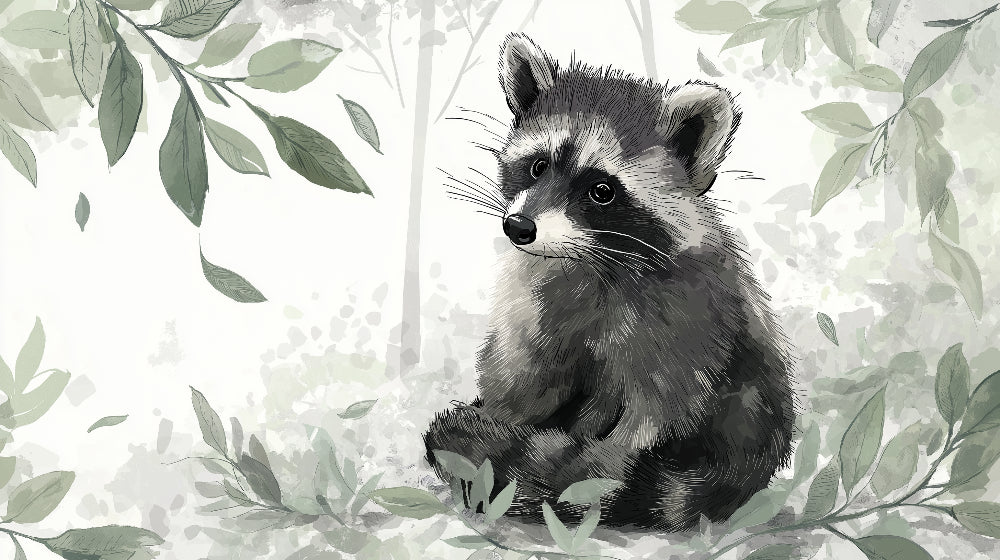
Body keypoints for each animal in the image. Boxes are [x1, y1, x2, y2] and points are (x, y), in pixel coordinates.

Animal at [424, 33, 796, 531]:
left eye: (602, 190)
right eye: (538, 166)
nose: (518, 227)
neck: (588, 259)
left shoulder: (688, 321)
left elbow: (655, 409)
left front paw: (593, 470)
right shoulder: (534, 300)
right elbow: (522, 370)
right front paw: (501, 419)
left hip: (747, 403)